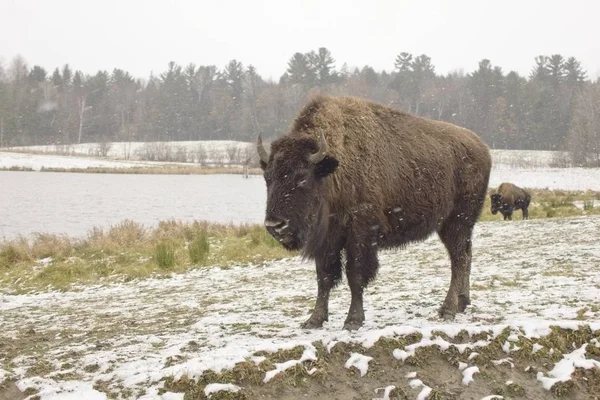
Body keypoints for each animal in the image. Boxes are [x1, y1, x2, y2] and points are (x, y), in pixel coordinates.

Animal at [258, 94, 492, 332]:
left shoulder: (360, 234)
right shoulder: (328, 240)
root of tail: (482, 148)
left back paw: (448, 309)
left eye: (302, 178)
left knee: (458, 259)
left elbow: (355, 274)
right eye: (267, 178)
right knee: (466, 255)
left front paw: (353, 320)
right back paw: (463, 303)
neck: (333, 167)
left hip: (457, 222)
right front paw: (314, 320)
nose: (274, 226)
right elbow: (324, 277)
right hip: (453, 225)